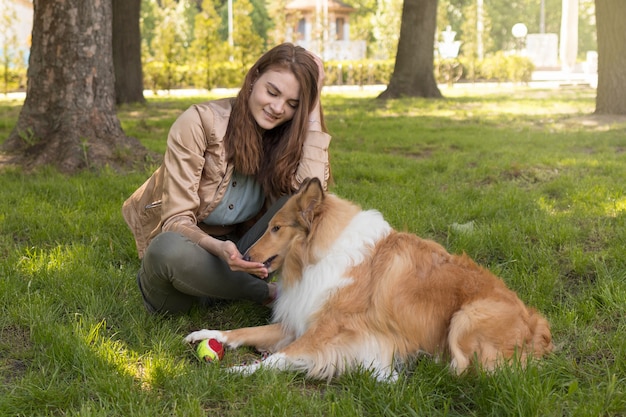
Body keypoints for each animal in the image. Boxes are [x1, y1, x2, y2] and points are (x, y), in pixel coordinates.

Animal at [182, 177, 552, 378]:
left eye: (276, 228)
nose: (243, 256)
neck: (319, 255)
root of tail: (536, 325)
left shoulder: (328, 332)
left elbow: (278, 358)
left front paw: (238, 372)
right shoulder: (300, 320)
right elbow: (244, 331)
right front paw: (206, 334)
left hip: (466, 317)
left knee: (468, 370)